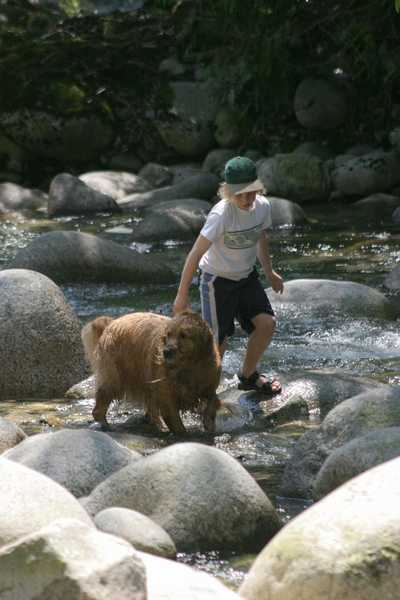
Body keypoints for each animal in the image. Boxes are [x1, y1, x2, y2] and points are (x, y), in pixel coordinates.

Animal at [81, 310, 221, 434]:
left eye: (183, 335)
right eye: (168, 335)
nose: (166, 351)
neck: (188, 367)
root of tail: (110, 324)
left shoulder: (208, 383)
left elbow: (212, 402)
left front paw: (209, 424)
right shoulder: (166, 393)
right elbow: (174, 419)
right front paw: (184, 434)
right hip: (115, 377)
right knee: (100, 406)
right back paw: (106, 424)